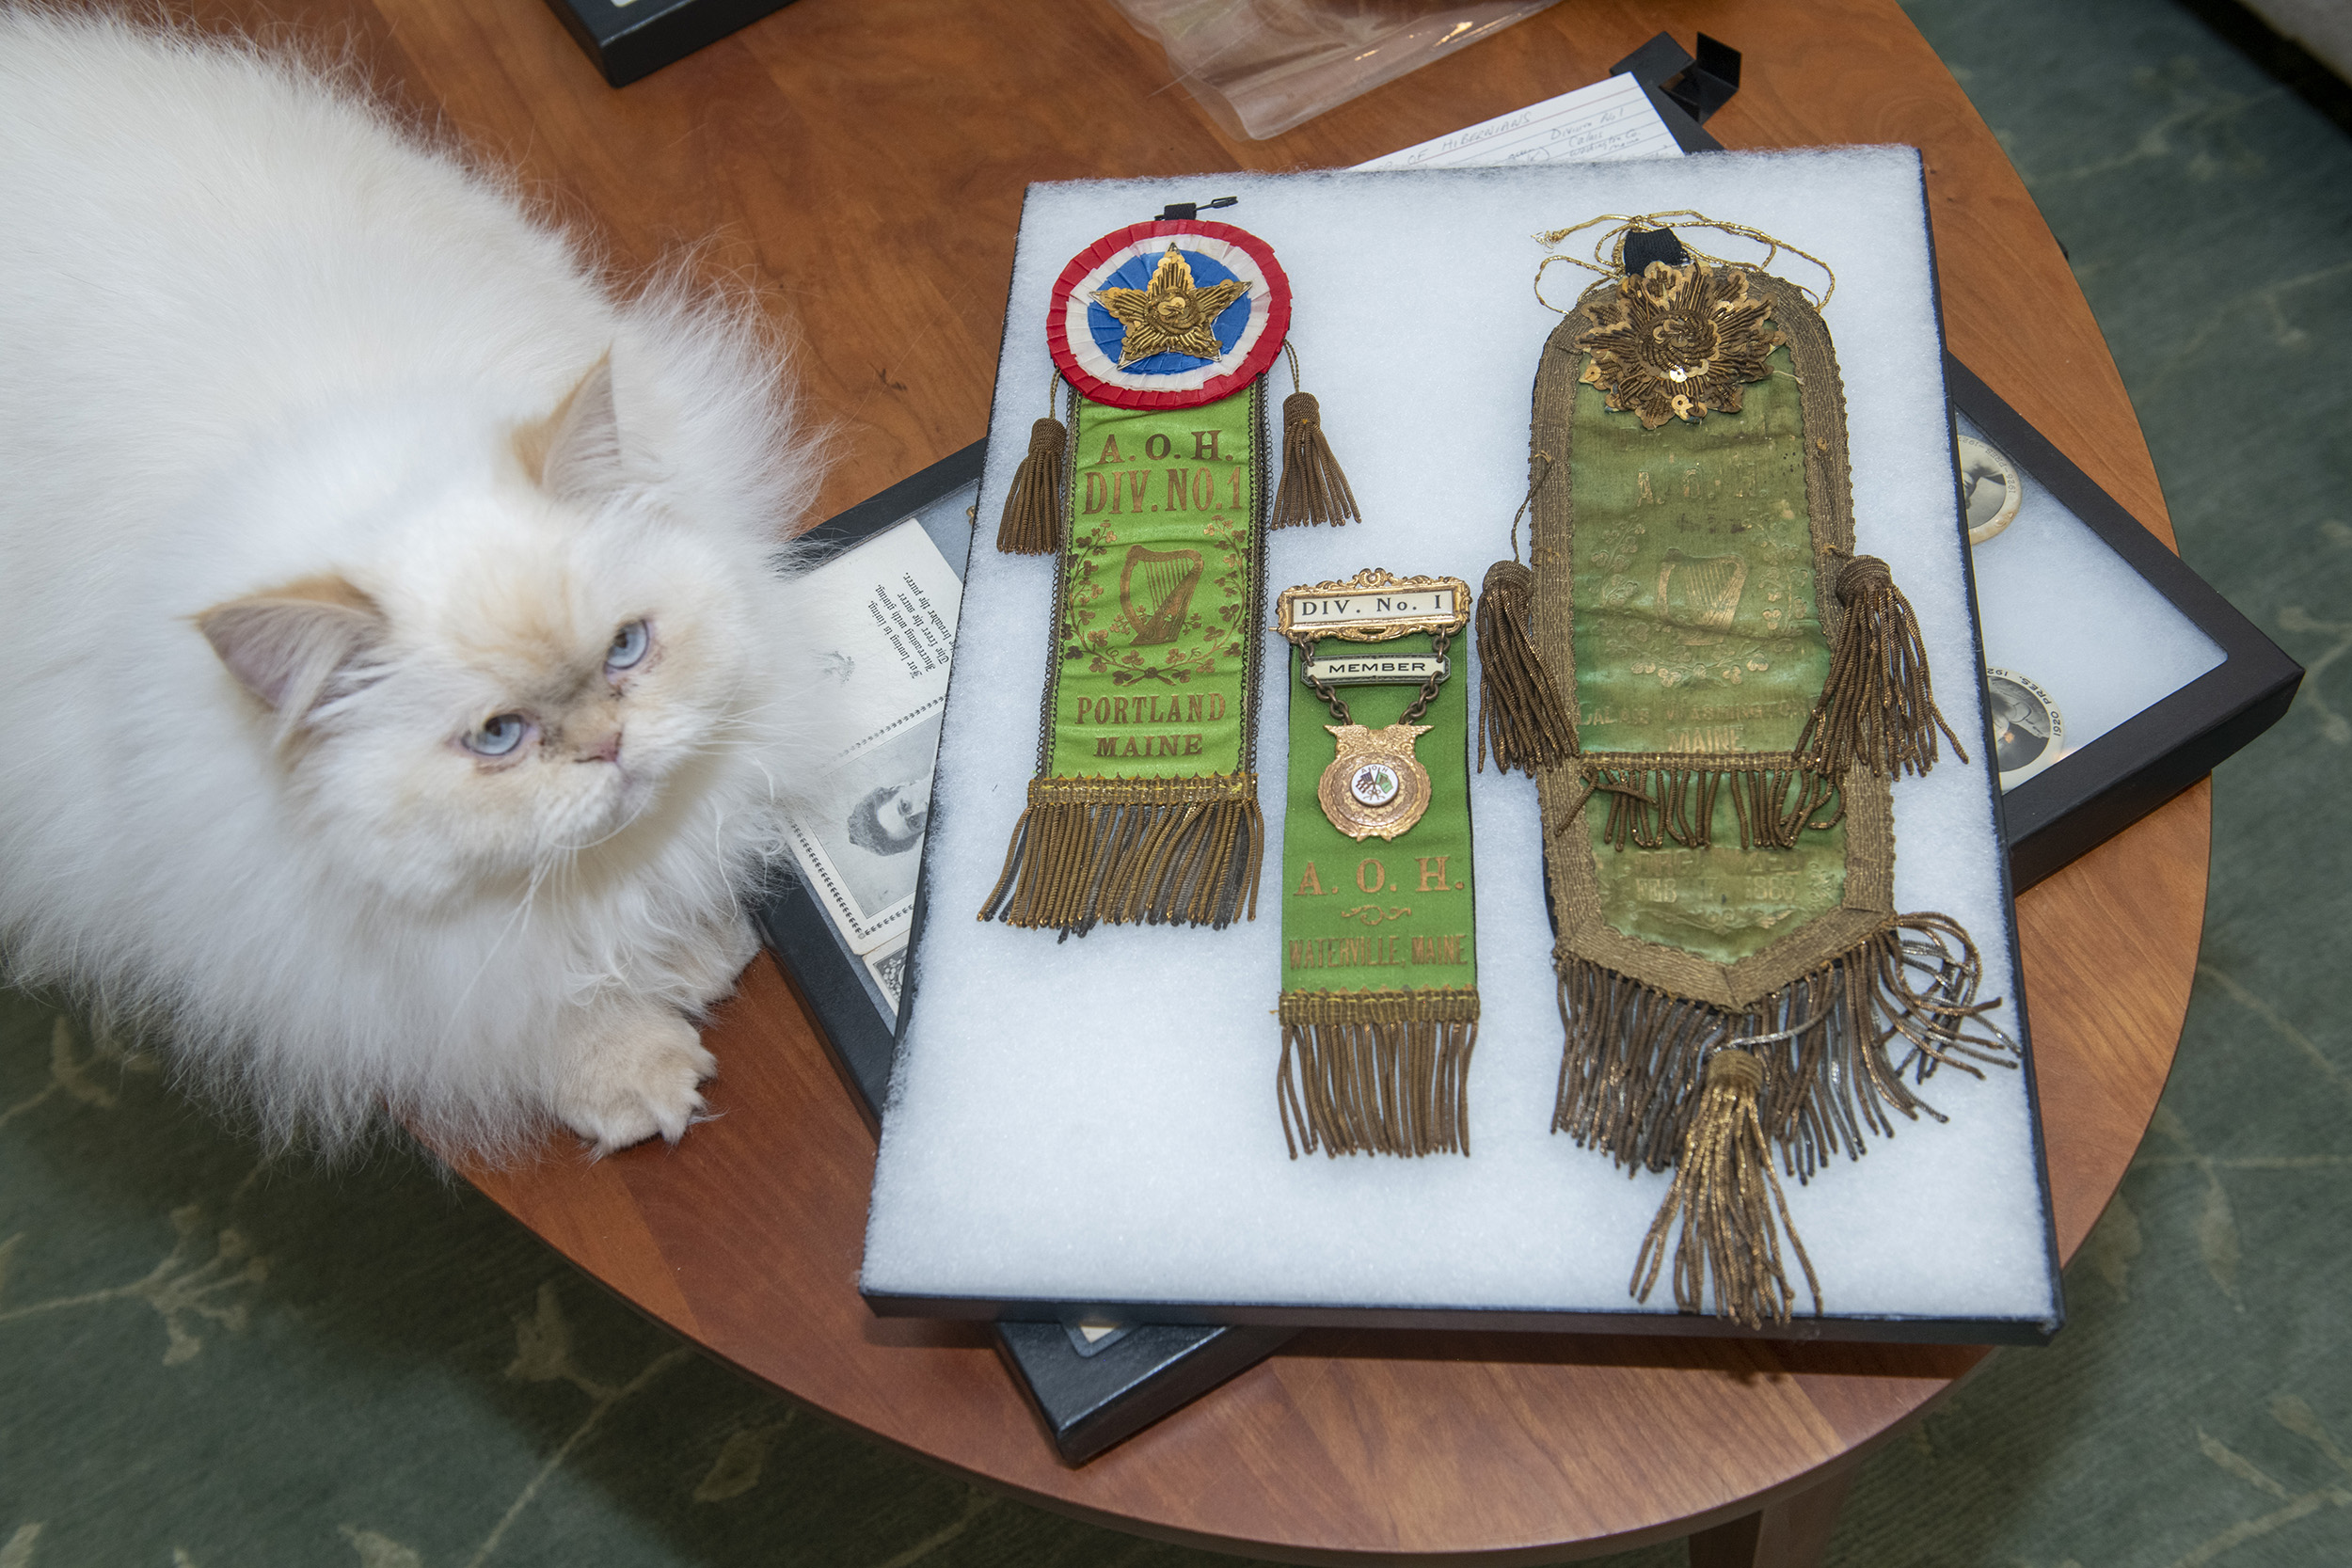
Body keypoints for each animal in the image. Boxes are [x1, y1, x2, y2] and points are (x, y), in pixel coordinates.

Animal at [0, 12, 842, 1161]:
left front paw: (689, 951)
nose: (609, 745)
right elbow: (512, 1002)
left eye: (627, 649)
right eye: (498, 738)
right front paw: (633, 1065)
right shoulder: (322, 946)